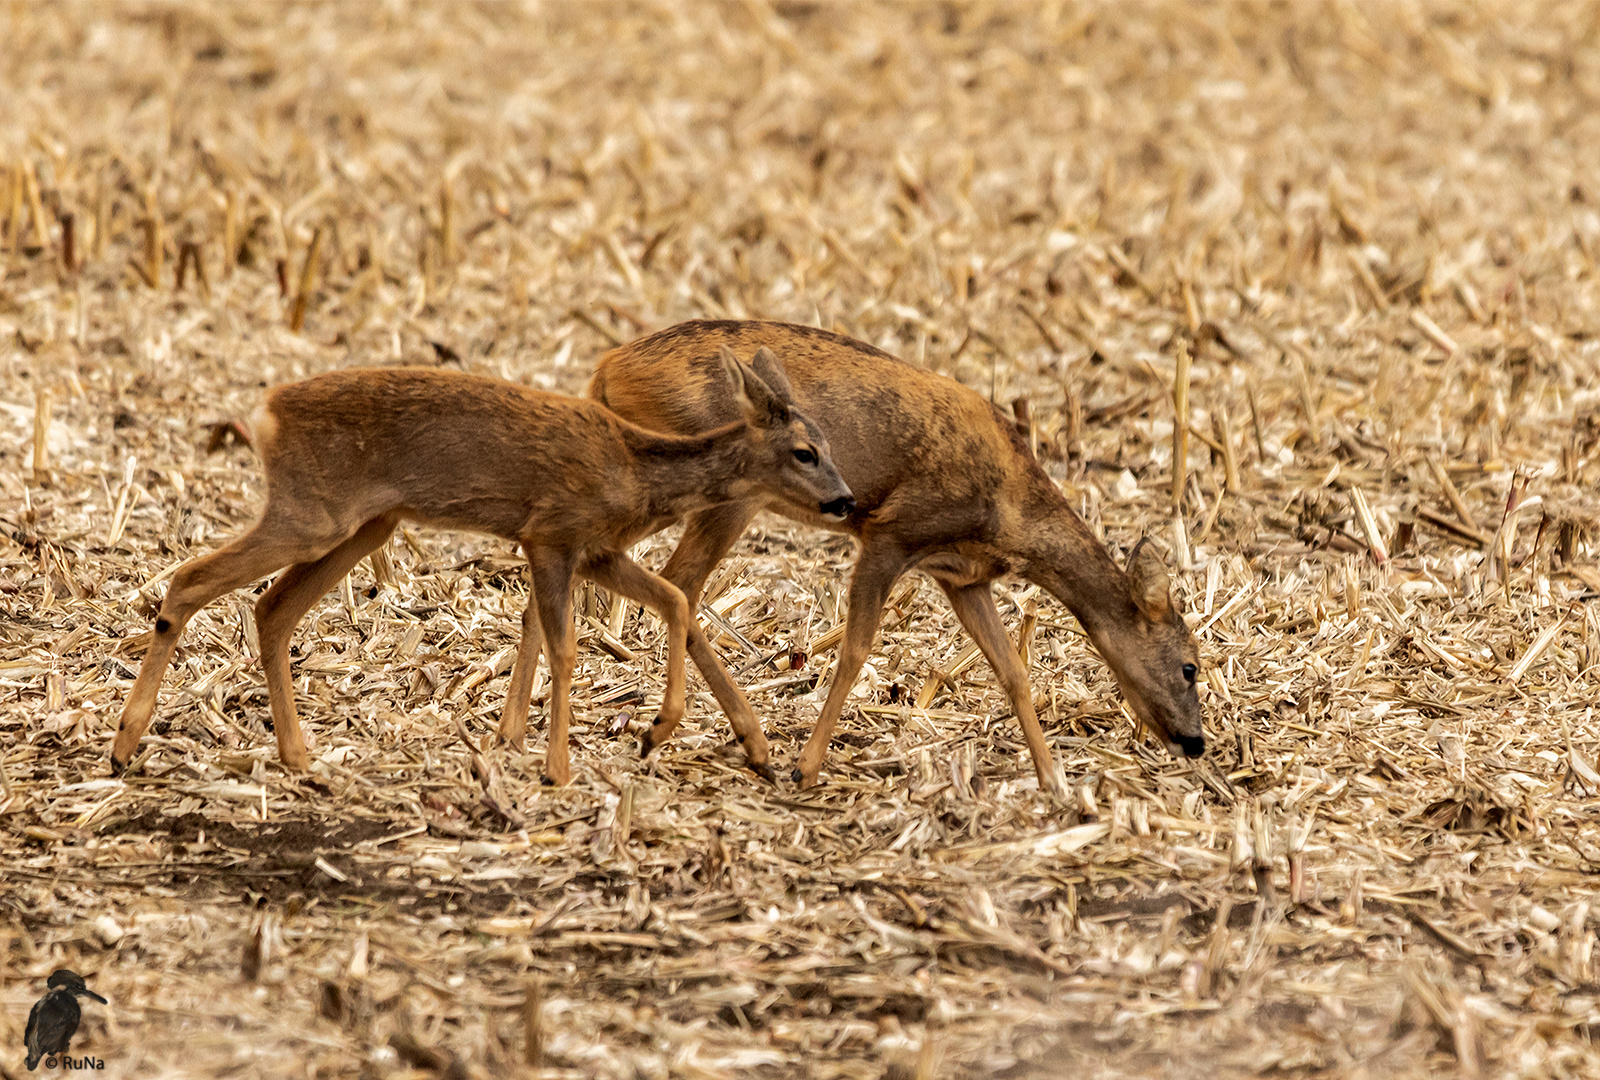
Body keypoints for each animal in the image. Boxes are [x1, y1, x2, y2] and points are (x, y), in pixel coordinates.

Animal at [106, 352, 857, 787]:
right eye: (803, 450)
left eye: (827, 443)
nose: (847, 499)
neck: (634, 469)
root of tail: (264, 413)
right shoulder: (552, 533)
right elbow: (566, 644)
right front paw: (556, 769)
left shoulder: (597, 549)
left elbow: (671, 599)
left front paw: (654, 731)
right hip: (310, 512)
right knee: (190, 579)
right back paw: (122, 745)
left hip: (363, 524)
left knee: (271, 608)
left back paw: (300, 759)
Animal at [588, 318, 1203, 793]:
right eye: (1190, 666)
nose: (1195, 742)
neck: (1008, 509)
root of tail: (604, 370)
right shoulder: (891, 534)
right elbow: (856, 649)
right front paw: (806, 768)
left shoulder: (963, 577)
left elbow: (1012, 670)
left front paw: (1054, 781)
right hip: (726, 487)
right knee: (676, 579)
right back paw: (738, 742)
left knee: (669, 581)